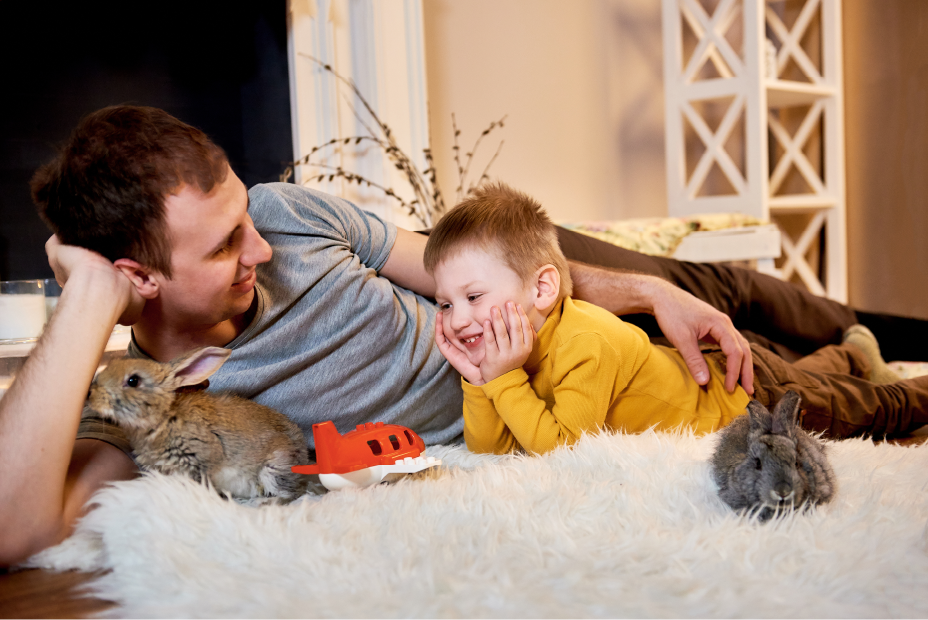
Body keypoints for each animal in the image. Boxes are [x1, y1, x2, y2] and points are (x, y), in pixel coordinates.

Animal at [85, 346, 308, 502]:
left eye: (133, 381)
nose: (90, 396)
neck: (164, 417)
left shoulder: (197, 463)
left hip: (273, 470)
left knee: (291, 494)